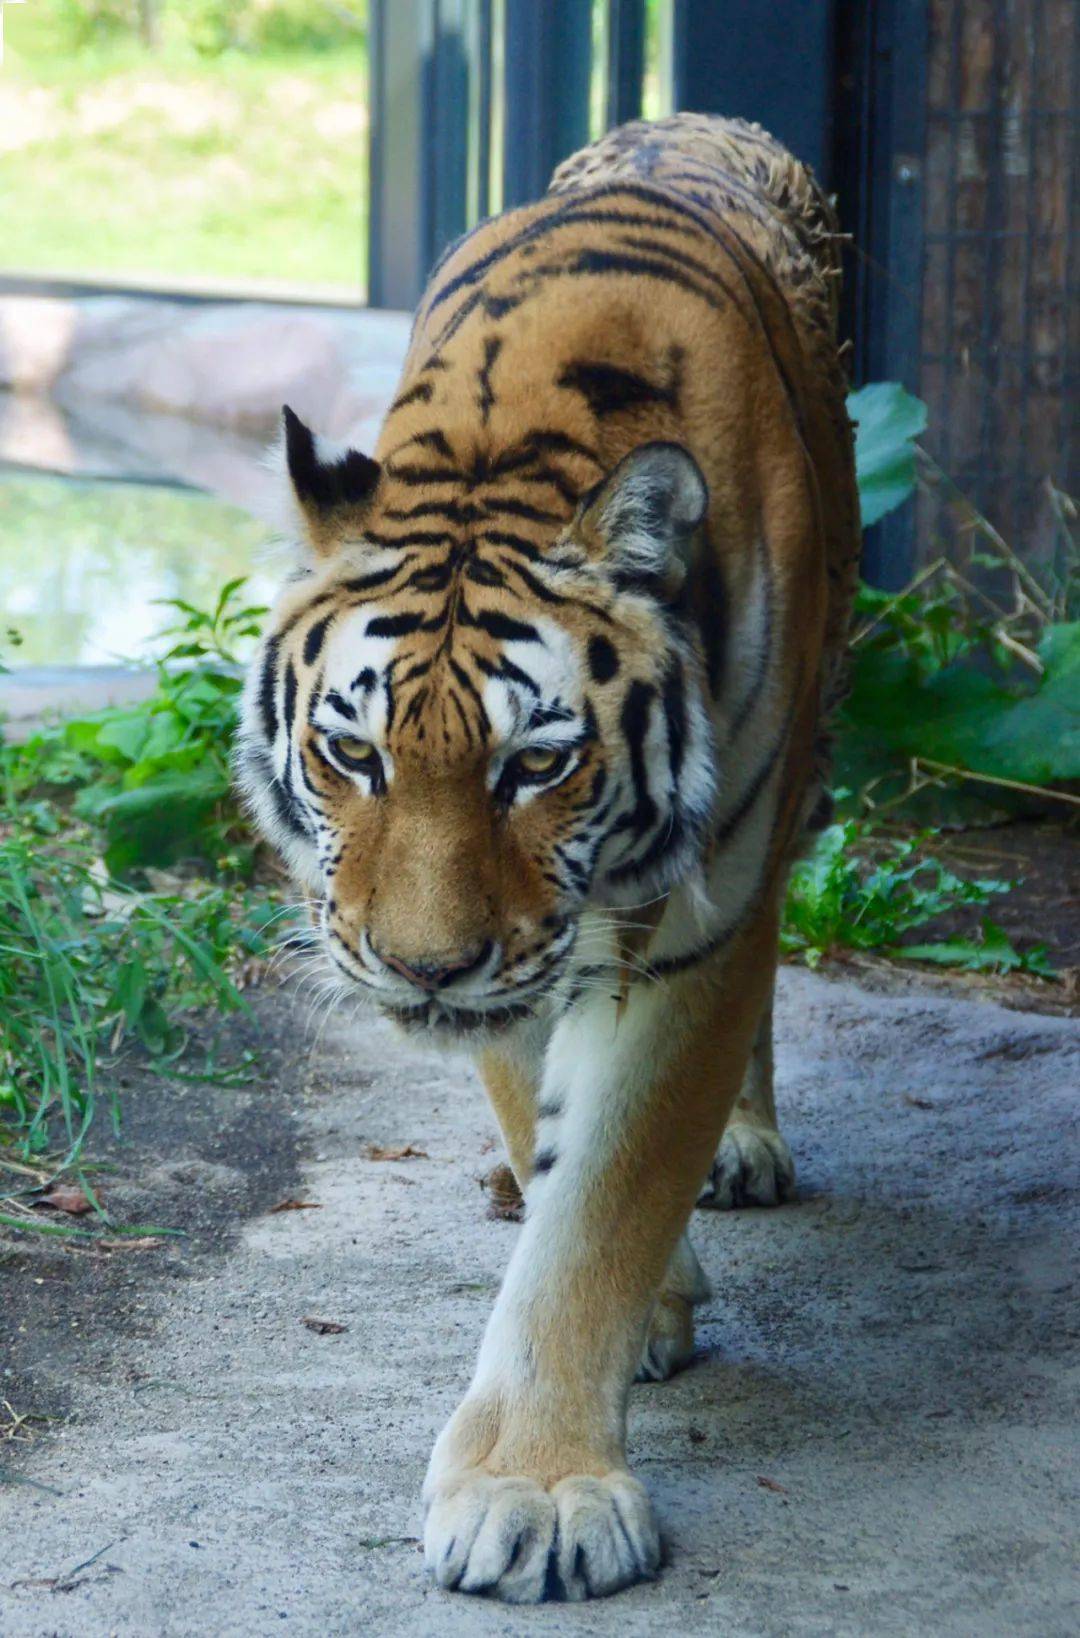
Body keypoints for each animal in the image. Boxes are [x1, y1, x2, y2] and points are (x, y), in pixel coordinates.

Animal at [239, 112, 858, 1598]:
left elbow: (605, 1206)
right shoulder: (524, 965)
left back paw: (744, 1143)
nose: (423, 969)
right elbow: (543, 1123)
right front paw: (645, 1300)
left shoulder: (695, 924)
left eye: (535, 765)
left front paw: (537, 1490)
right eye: (354, 756)